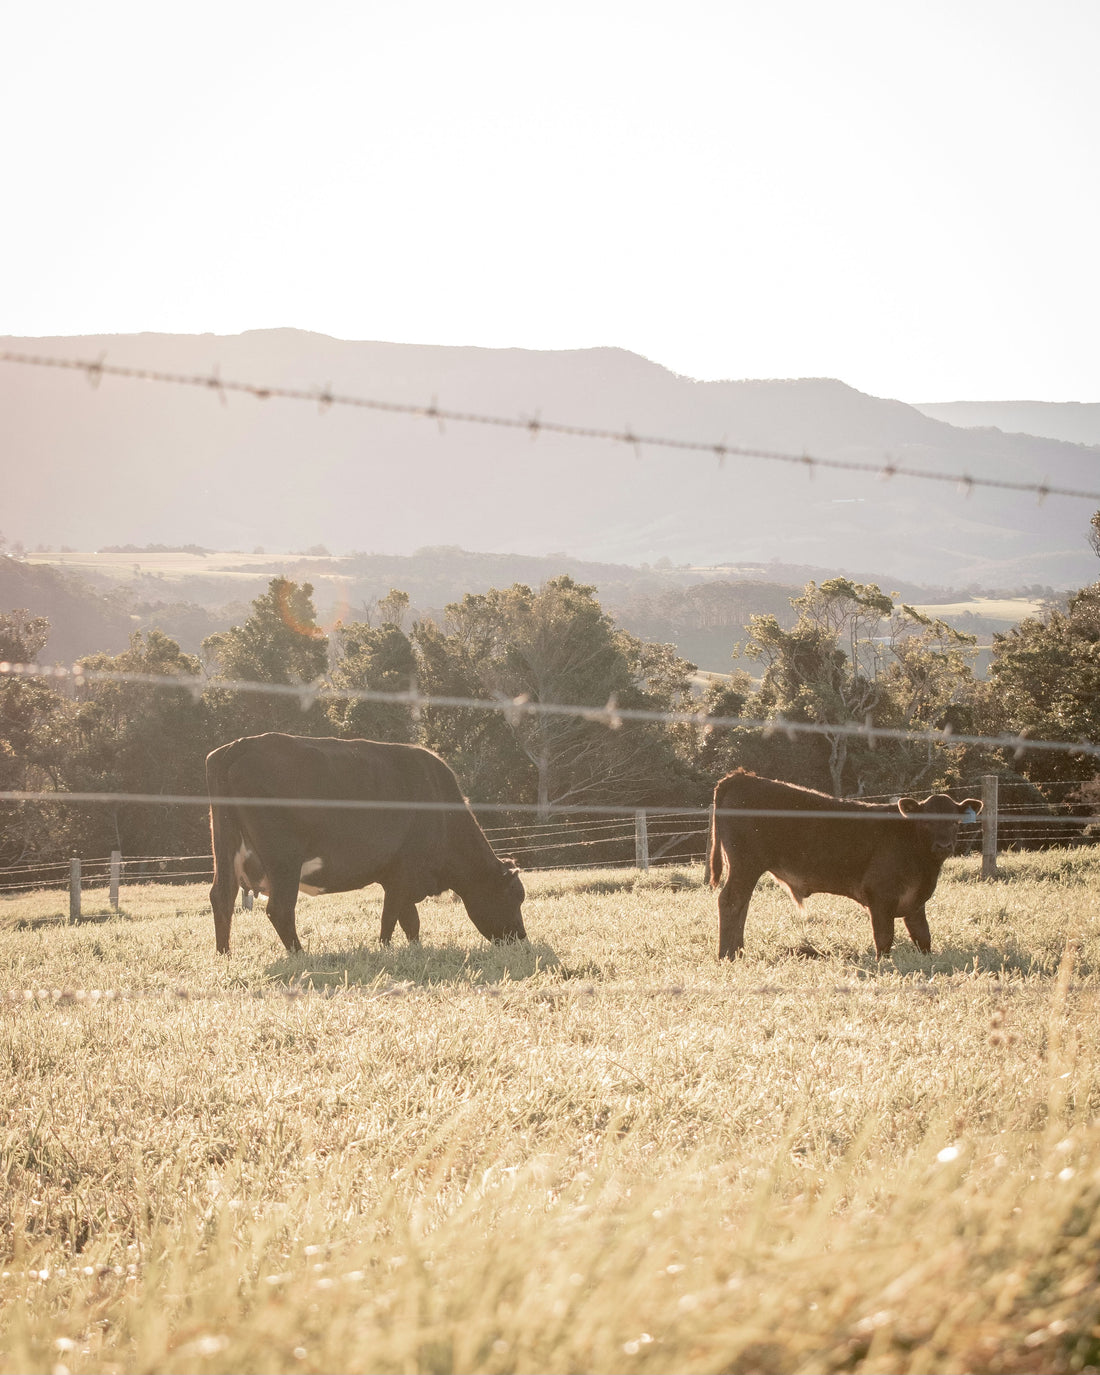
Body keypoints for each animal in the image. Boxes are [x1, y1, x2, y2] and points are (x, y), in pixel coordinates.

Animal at [211, 737, 533, 951]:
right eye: (514, 896)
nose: (521, 937)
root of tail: (239, 745)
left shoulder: (398, 880)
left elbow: (409, 921)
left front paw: (413, 949)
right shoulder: (403, 874)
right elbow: (391, 918)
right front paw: (385, 950)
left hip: (226, 850)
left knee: (222, 898)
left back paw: (224, 953)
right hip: (284, 862)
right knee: (279, 908)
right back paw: (299, 954)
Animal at [704, 770, 979, 962]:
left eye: (955, 821)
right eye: (926, 821)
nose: (944, 845)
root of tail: (740, 777)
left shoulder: (915, 901)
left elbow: (923, 937)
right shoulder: (880, 896)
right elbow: (884, 937)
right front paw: (883, 963)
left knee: (741, 904)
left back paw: (737, 951)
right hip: (745, 865)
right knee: (731, 901)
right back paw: (728, 955)